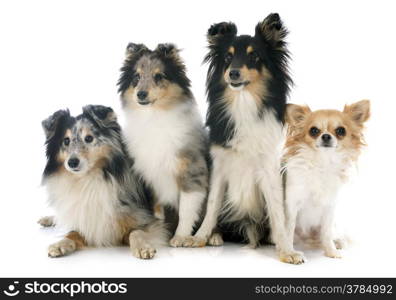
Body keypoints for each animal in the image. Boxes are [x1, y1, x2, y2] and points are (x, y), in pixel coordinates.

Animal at [38, 105, 166, 258]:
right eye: (66, 141)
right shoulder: (85, 221)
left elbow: (136, 232)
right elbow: (72, 233)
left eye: (88, 138)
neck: (88, 180)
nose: (72, 162)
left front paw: (143, 247)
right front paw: (59, 244)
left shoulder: (147, 221)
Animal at [117, 43, 212, 247]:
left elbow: (186, 210)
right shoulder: (151, 177)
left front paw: (180, 237)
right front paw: (158, 232)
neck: (155, 116)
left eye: (159, 76)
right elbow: (157, 210)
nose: (141, 94)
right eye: (136, 77)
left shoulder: (192, 172)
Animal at [193, 12, 302, 262]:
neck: (243, 101)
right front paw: (200, 236)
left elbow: (277, 211)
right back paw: (215, 236)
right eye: (228, 57)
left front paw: (286, 249)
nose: (233, 73)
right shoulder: (219, 165)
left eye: (254, 56)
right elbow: (212, 204)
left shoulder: (269, 168)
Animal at [284, 99, 370, 262]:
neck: (322, 163)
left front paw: (331, 251)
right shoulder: (292, 205)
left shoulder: (329, 207)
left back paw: (336, 242)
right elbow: (288, 230)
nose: (326, 136)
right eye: (313, 131)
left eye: (341, 131)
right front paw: (289, 252)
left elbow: (327, 232)